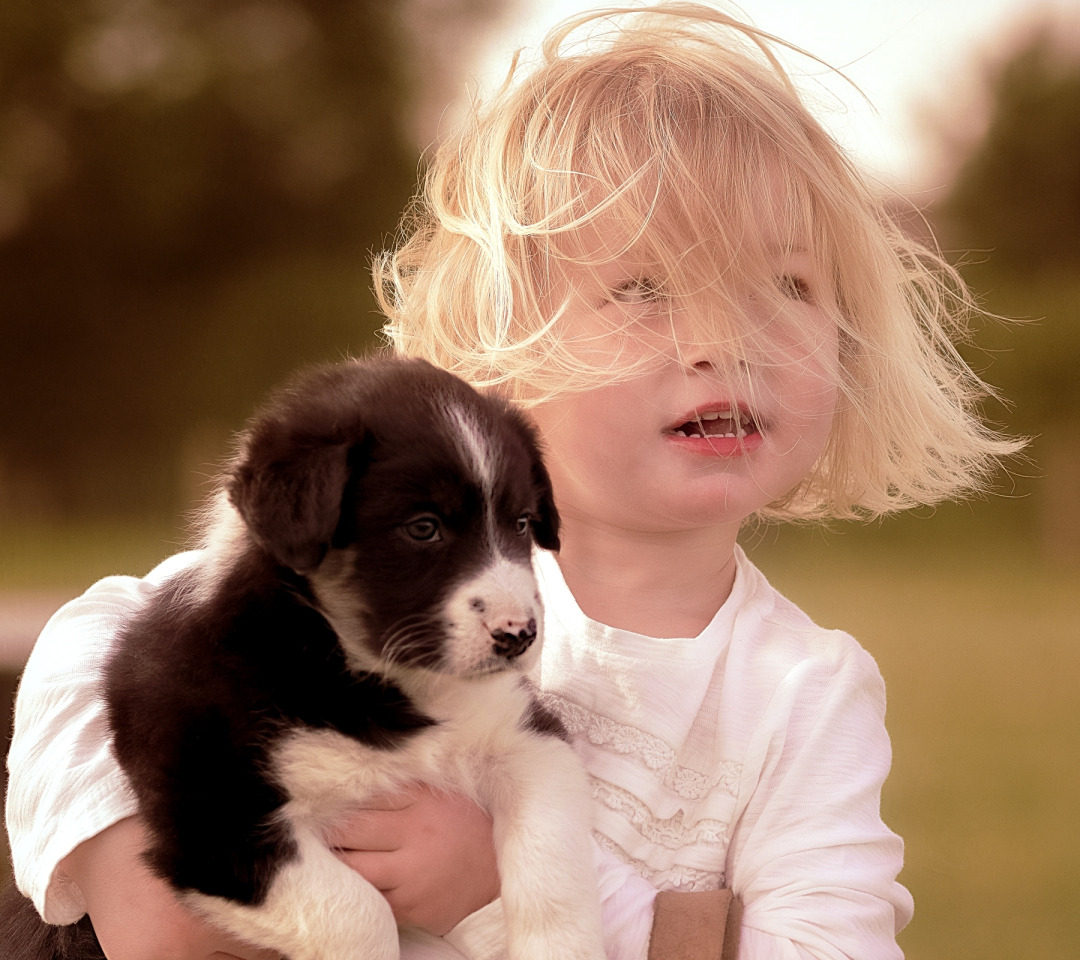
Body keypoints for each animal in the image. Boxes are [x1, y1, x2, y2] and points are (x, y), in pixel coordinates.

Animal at [2, 358, 609, 958]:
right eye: (423, 528)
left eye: (521, 523)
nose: (519, 635)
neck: (367, 674)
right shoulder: (216, 825)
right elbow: (359, 914)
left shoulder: (524, 737)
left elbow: (552, 865)